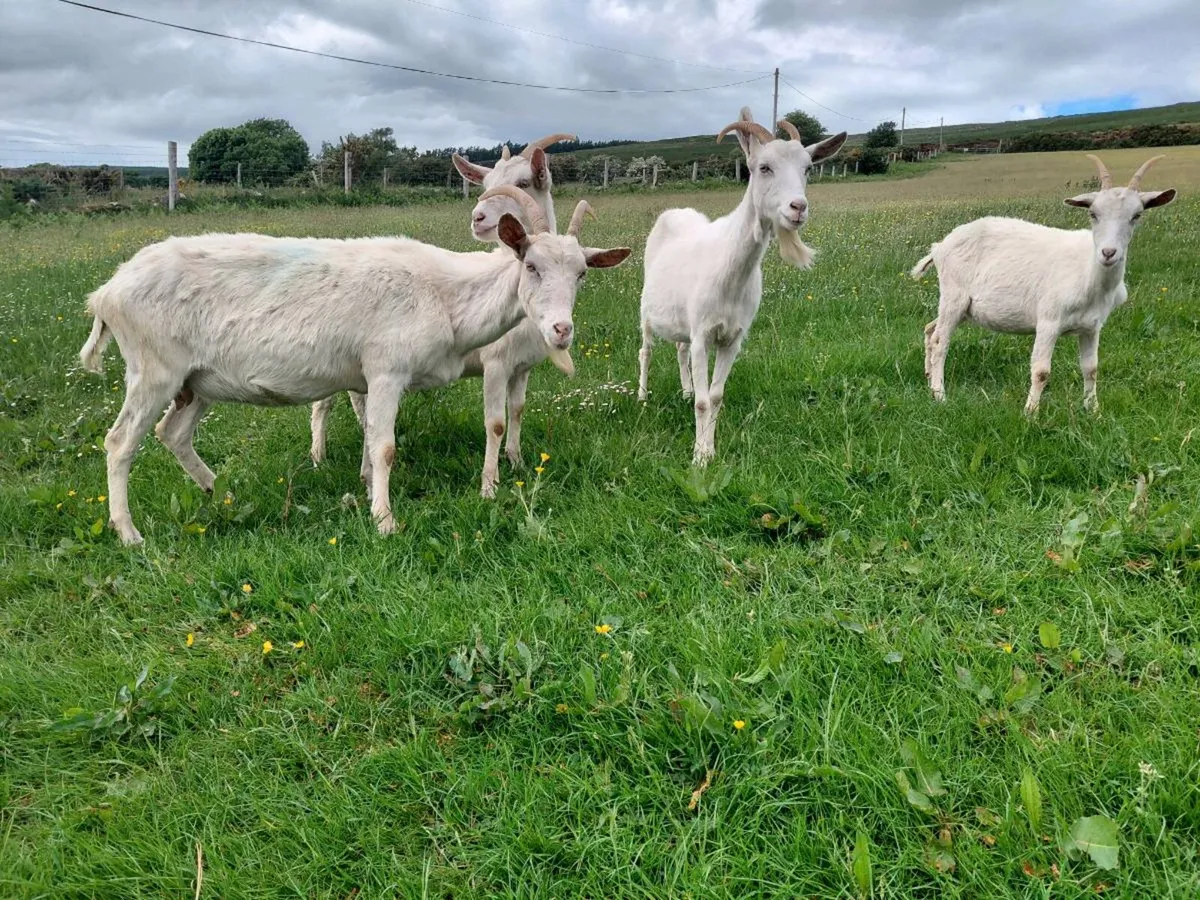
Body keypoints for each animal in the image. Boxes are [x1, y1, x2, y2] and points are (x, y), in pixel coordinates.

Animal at [78, 187, 629, 544]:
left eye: (581, 274)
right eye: (530, 265)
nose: (561, 330)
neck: (447, 295)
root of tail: (106, 292)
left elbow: (371, 438)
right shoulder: (386, 371)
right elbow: (384, 446)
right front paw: (385, 521)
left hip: (197, 381)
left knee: (172, 433)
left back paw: (220, 492)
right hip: (153, 370)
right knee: (120, 442)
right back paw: (129, 534)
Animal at [636, 108, 845, 464]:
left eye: (808, 168)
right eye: (764, 167)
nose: (798, 208)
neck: (730, 271)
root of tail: (674, 212)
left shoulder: (732, 337)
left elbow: (715, 396)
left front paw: (709, 447)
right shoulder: (703, 334)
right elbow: (704, 402)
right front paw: (699, 457)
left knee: (679, 349)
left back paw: (685, 389)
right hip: (646, 311)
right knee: (646, 351)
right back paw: (641, 396)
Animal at [912, 154, 1176, 413]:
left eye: (1136, 216)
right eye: (1093, 214)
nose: (1108, 253)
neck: (1088, 275)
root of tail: (939, 246)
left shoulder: (1092, 327)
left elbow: (1091, 369)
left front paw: (1093, 411)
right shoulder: (1049, 320)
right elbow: (1041, 371)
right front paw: (1031, 413)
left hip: (965, 308)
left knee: (929, 329)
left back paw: (928, 379)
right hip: (953, 295)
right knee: (939, 341)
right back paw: (940, 395)